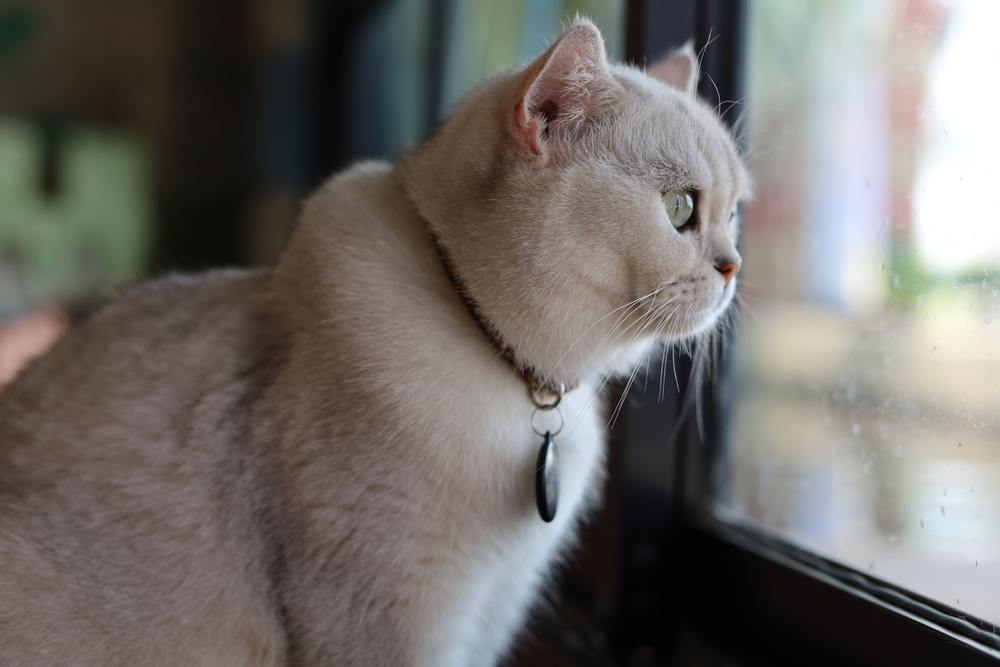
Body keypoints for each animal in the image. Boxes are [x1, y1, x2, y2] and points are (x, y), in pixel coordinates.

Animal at [0, 15, 744, 667]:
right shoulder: (387, 622)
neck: (519, 383)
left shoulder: (488, 616)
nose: (735, 266)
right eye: (680, 208)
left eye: (735, 213)